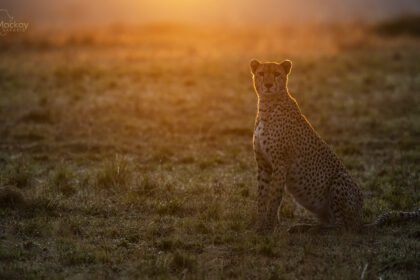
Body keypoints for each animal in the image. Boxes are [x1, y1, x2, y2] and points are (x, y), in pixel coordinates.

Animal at [251, 58, 418, 232]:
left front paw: (268, 227)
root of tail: (360, 220)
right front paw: (260, 225)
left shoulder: (280, 164)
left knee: (341, 226)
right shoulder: (263, 164)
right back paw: (304, 226)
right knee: (331, 222)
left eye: (277, 74)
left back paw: (311, 229)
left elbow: (274, 198)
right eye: (261, 73)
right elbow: (262, 196)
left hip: (339, 179)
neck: (267, 106)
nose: (268, 84)